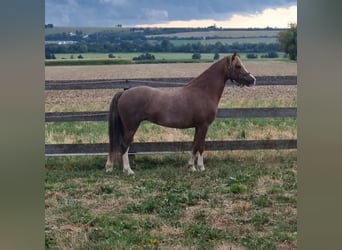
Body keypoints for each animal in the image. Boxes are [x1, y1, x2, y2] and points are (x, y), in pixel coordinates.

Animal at [105, 52, 255, 176]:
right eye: (238, 66)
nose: (253, 79)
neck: (203, 91)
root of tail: (124, 92)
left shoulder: (198, 127)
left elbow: (194, 145)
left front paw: (191, 167)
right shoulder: (204, 126)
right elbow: (201, 146)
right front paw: (200, 167)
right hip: (131, 126)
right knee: (124, 145)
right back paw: (128, 170)